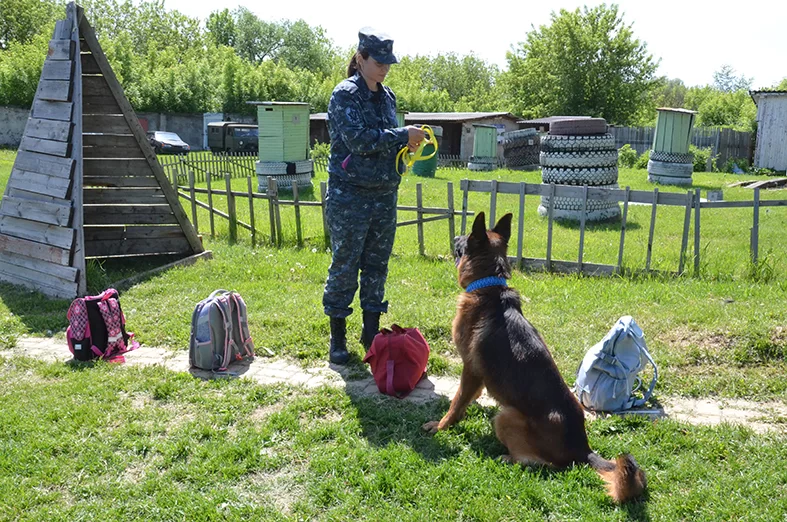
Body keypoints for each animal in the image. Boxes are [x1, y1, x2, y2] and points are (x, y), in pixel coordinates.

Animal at [422, 212, 646, 504]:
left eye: (465, 238)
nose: (454, 237)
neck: (489, 285)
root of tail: (582, 449)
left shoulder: (470, 369)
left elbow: (456, 403)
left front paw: (441, 426)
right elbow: (466, 400)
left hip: (505, 417)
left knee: (543, 464)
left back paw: (508, 457)